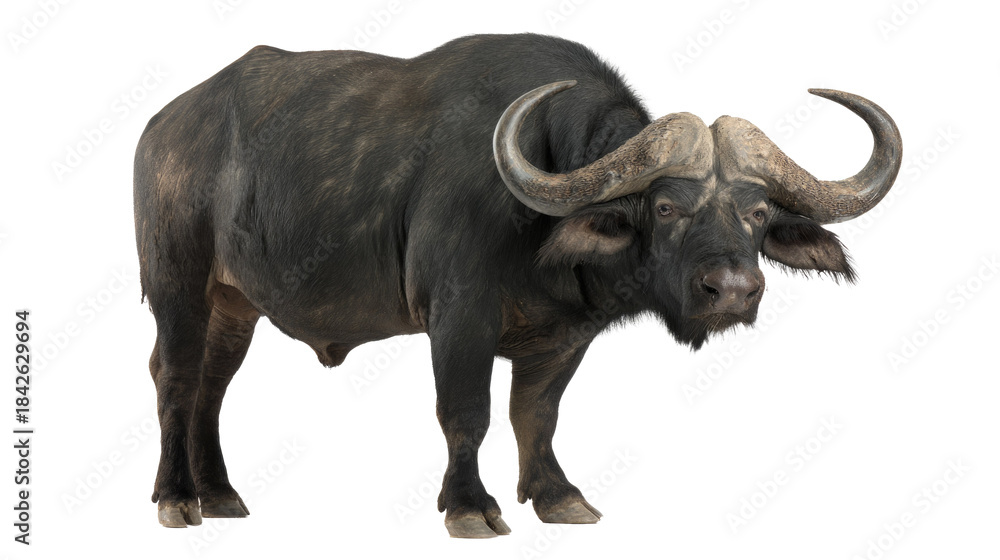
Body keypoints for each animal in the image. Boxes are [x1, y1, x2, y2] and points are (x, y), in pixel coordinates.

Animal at [133, 33, 901, 537]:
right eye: (664, 207)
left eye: (760, 212)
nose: (735, 290)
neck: (540, 225)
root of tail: (164, 127)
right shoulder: (458, 319)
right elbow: (466, 413)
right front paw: (470, 506)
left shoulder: (565, 338)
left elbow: (537, 414)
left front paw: (556, 496)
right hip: (175, 285)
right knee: (175, 377)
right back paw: (177, 498)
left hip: (234, 305)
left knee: (211, 385)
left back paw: (220, 493)